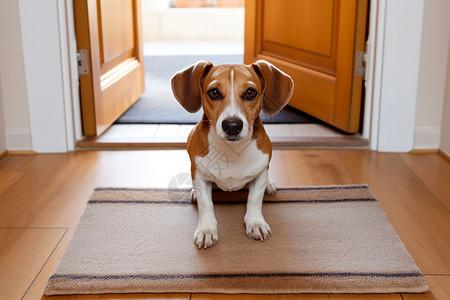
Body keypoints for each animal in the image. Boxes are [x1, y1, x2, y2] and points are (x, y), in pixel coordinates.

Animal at [171, 59, 294, 248]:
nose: (232, 125)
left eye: (250, 92)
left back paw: (269, 184)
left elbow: (254, 199)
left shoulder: (259, 175)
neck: (232, 150)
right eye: (214, 92)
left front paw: (255, 223)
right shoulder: (199, 176)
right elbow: (206, 204)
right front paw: (207, 230)